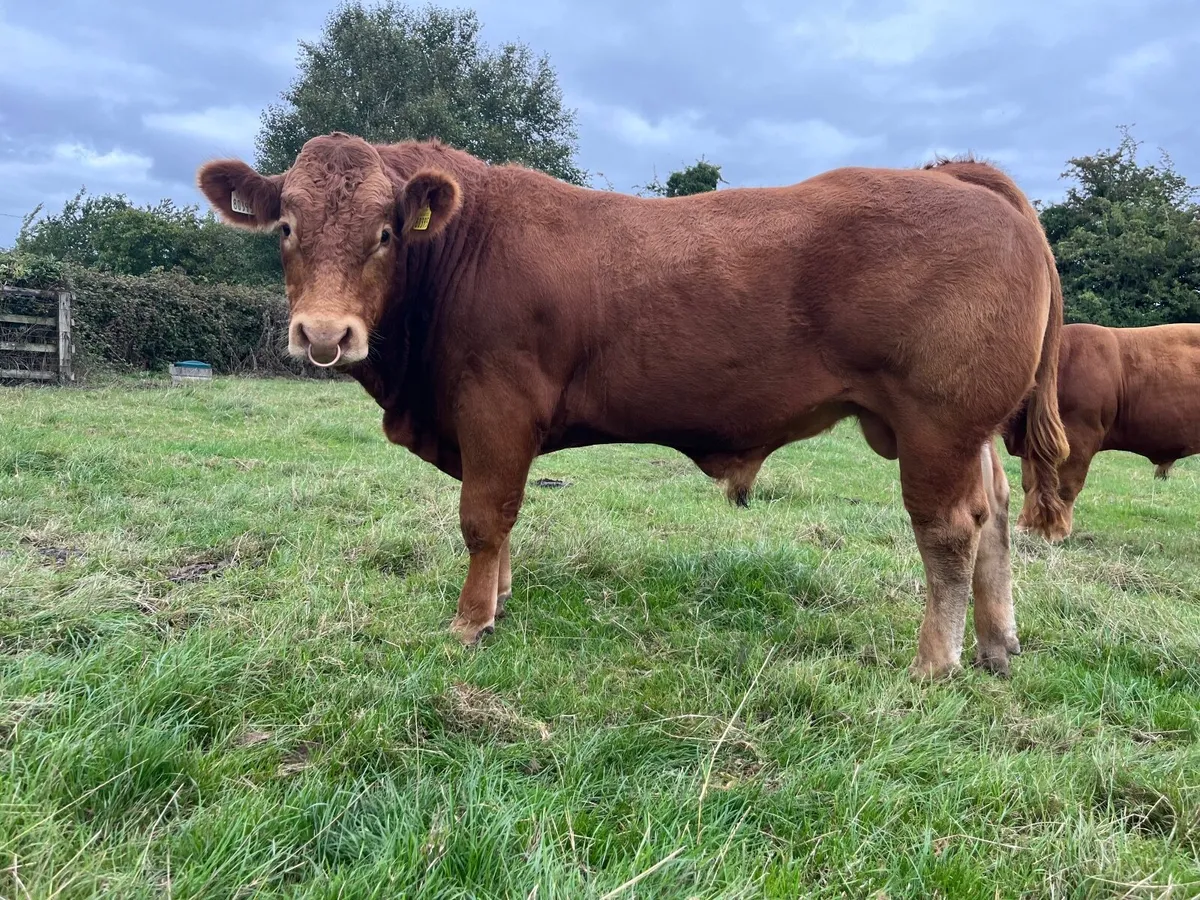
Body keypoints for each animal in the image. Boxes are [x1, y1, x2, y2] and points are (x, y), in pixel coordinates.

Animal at [196, 133, 1068, 680]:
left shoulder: (496, 407)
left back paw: (934, 661)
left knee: (948, 532)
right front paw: (500, 600)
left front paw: (470, 621)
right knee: (992, 516)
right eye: (286, 226)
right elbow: (503, 520)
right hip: (967, 430)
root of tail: (953, 174)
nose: (324, 334)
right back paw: (997, 644)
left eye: (385, 232)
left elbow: (483, 516)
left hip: (936, 421)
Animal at [1003, 321, 1200, 541]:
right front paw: (1026, 528)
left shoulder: (1078, 436)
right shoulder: (1032, 443)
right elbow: (1031, 483)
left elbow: (1063, 485)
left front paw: (1057, 531)